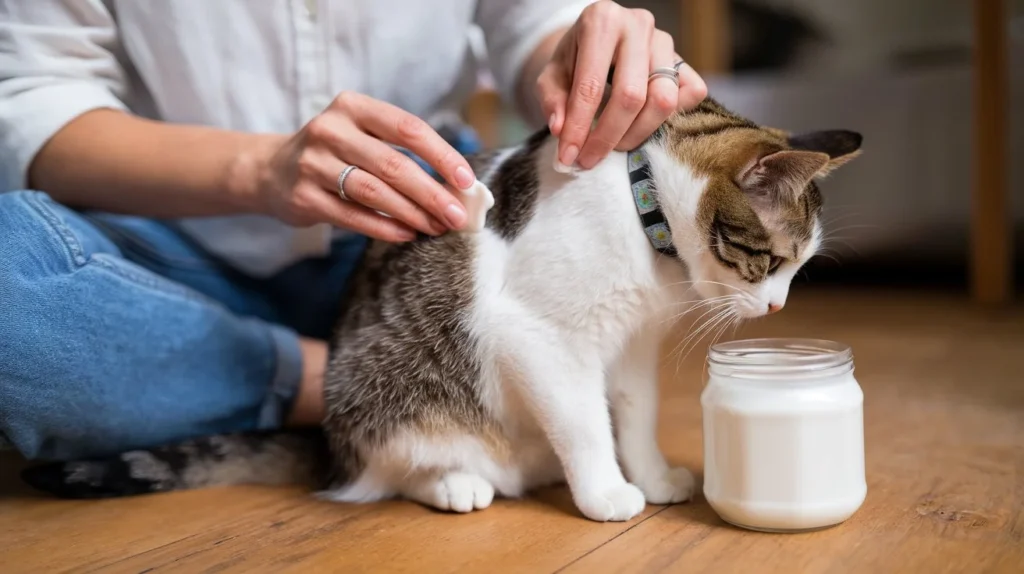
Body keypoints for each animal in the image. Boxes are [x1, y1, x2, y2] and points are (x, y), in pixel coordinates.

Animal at [19, 99, 860, 523]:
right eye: (772, 262)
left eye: (797, 269)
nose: (776, 305)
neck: (641, 212)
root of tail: (332, 444)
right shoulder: (541, 336)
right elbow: (587, 425)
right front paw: (606, 493)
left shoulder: (629, 347)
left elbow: (635, 417)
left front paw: (650, 477)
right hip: (392, 394)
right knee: (389, 473)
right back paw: (458, 483)